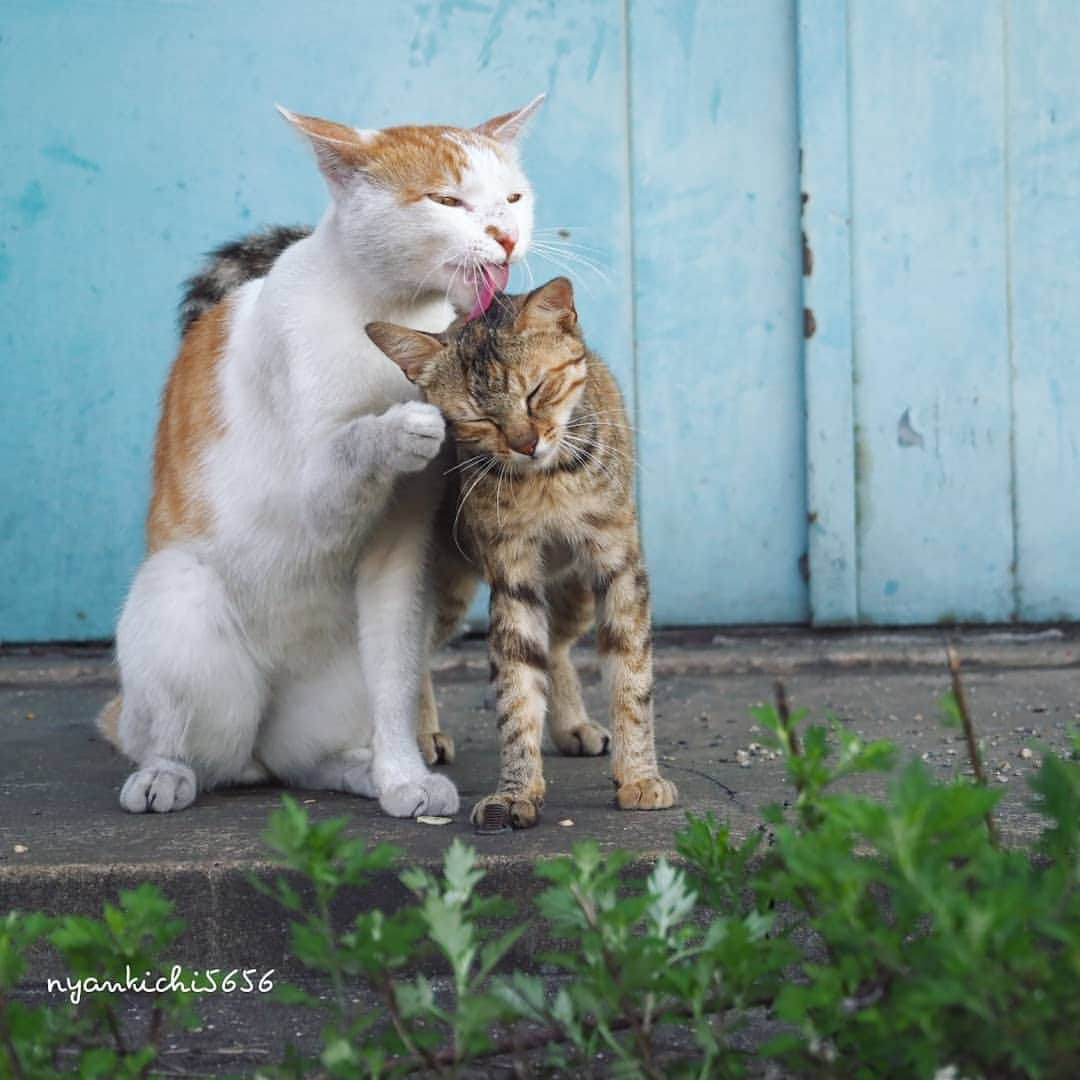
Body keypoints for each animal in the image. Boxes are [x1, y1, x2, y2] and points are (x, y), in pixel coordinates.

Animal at [96, 95, 540, 816]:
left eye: (513, 197)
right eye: (446, 200)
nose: (505, 235)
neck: (390, 317)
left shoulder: (398, 556)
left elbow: (395, 687)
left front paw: (402, 775)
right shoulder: (305, 496)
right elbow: (346, 451)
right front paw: (405, 424)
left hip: (343, 684)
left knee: (303, 758)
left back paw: (361, 771)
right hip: (179, 597)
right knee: (192, 747)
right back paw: (165, 774)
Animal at [367, 274, 678, 829]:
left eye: (537, 391)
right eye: (477, 418)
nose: (526, 443)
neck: (547, 482)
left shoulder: (619, 567)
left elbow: (630, 678)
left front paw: (640, 776)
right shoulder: (513, 577)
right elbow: (516, 691)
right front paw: (515, 791)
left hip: (576, 589)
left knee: (557, 646)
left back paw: (572, 723)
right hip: (447, 588)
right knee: (415, 652)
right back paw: (422, 734)